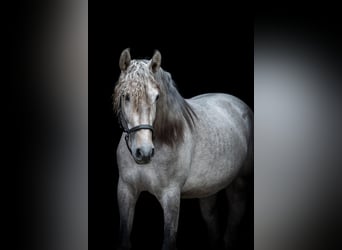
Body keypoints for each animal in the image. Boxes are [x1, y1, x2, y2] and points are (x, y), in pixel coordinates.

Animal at [113, 48, 252, 250]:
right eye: (126, 96)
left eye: (156, 97)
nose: (144, 152)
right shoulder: (126, 191)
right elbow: (124, 239)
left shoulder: (171, 196)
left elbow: (169, 241)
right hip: (208, 190)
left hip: (240, 184)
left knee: (231, 229)